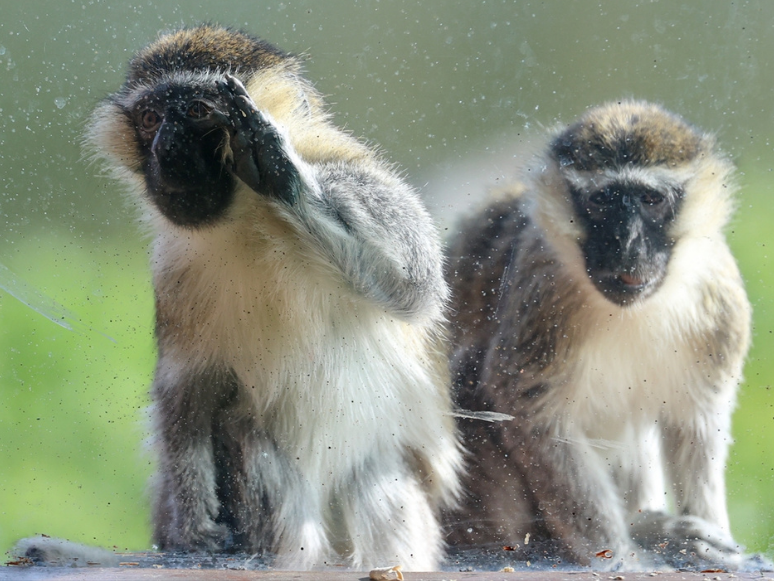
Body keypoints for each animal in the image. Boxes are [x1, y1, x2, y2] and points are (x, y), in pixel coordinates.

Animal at [18, 24, 464, 568]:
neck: (246, 215)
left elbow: (415, 285)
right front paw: (194, 528)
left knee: (373, 477)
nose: (166, 149)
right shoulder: (173, 269)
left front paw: (281, 173)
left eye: (197, 111)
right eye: (150, 119)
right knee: (243, 426)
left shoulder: (345, 169)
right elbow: (188, 388)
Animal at [446, 101, 768, 572]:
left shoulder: (719, 302)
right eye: (601, 200)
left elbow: (696, 419)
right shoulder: (540, 291)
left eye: (651, 200)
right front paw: (618, 558)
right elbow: (532, 413)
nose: (628, 244)